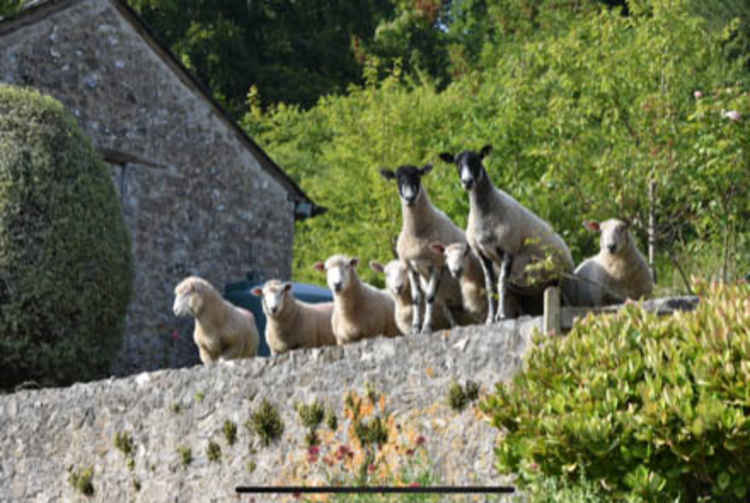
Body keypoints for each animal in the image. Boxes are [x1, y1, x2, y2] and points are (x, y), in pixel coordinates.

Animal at [378, 165, 468, 334]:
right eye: (398, 178)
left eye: (417, 176)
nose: (409, 198)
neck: (417, 234)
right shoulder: (411, 267)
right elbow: (417, 298)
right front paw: (415, 328)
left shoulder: (436, 265)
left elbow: (430, 297)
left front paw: (426, 328)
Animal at [440, 145, 576, 322]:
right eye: (457, 163)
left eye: (477, 160)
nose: (467, 182)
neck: (485, 214)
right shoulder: (483, 255)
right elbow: (490, 287)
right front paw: (490, 318)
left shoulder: (507, 250)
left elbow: (501, 284)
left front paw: (501, 315)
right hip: (539, 287)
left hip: (563, 281)